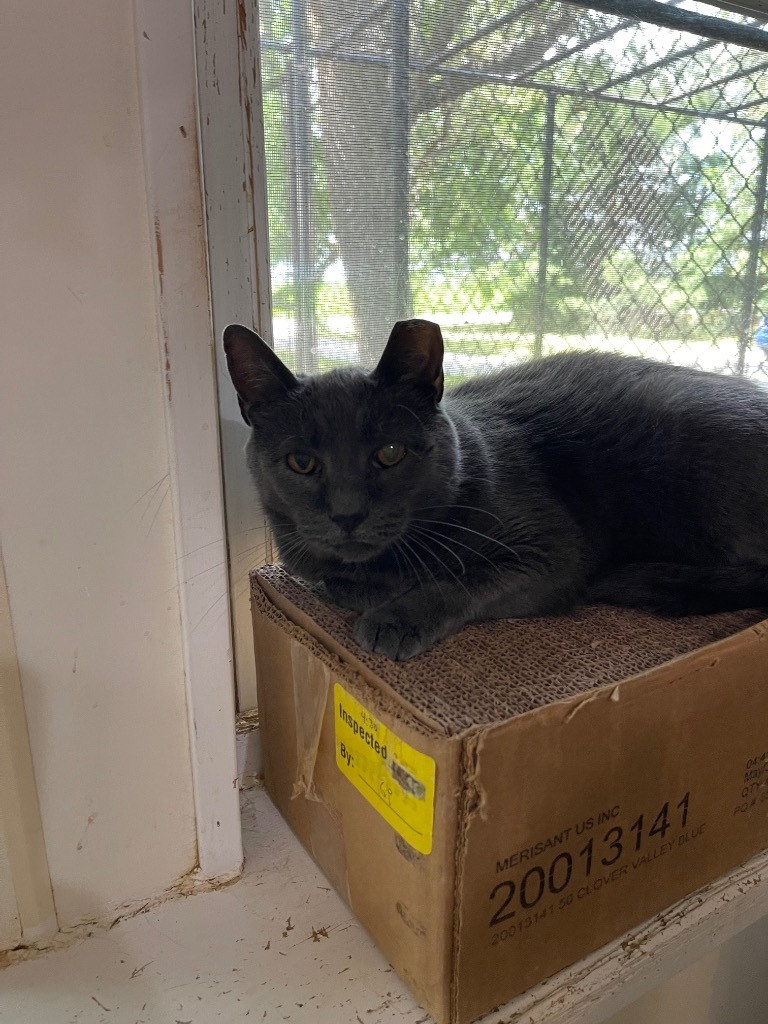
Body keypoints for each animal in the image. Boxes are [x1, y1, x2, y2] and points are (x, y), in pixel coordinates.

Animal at [225, 315, 768, 659]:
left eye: (390, 453)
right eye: (301, 462)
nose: (347, 513)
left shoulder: (554, 555)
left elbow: (461, 580)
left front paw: (393, 616)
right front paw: (362, 584)